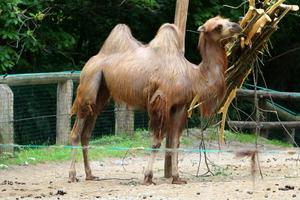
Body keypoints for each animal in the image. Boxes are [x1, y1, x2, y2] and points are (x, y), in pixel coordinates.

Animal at [68, 15, 241, 184]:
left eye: (226, 20)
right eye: (218, 26)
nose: (237, 26)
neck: (193, 76)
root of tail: (91, 62)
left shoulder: (180, 106)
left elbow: (175, 142)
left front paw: (177, 178)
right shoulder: (161, 102)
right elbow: (157, 141)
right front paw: (148, 177)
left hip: (101, 92)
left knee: (86, 133)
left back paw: (90, 175)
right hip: (89, 84)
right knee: (76, 132)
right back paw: (72, 175)